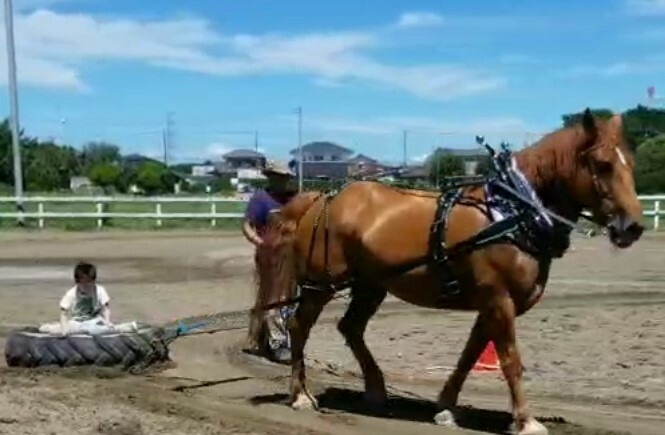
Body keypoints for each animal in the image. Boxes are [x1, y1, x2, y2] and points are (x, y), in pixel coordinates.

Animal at [264, 110, 644, 435]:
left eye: (631, 163)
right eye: (602, 164)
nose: (633, 227)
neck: (513, 211)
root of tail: (321, 198)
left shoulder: (491, 303)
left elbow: (470, 354)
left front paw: (446, 407)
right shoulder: (498, 299)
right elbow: (510, 359)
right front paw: (525, 420)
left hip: (370, 285)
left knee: (351, 328)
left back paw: (375, 390)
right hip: (319, 285)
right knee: (299, 327)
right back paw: (300, 395)